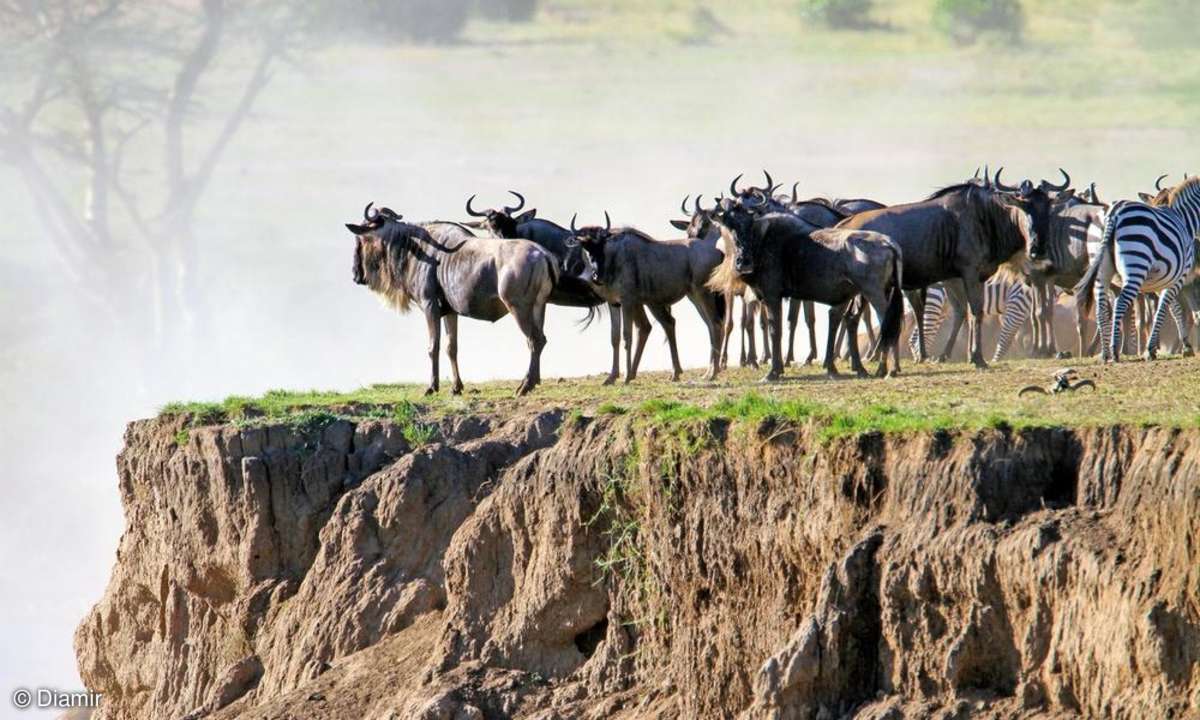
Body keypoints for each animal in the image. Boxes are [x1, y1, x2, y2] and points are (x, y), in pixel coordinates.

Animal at [902, 278, 1036, 362]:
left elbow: (1020, 337)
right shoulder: (1018, 299)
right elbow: (1008, 337)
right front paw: (995, 360)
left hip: (942, 308)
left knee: (915, 338)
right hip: (935, 300)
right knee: (923, 335)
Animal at [1080, 177, 1200, 362]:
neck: (1184, 219)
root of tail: (1114, 212)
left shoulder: (1164, 280)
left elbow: (1173, 310)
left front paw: (1179, 346)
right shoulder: (1177, 278)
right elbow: (1165, 309)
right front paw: (1153, 349)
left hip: (1101, 269)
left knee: (1101, 308)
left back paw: (1105, 354)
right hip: (1136, 266)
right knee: (1121, 303)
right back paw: (1114, 351)